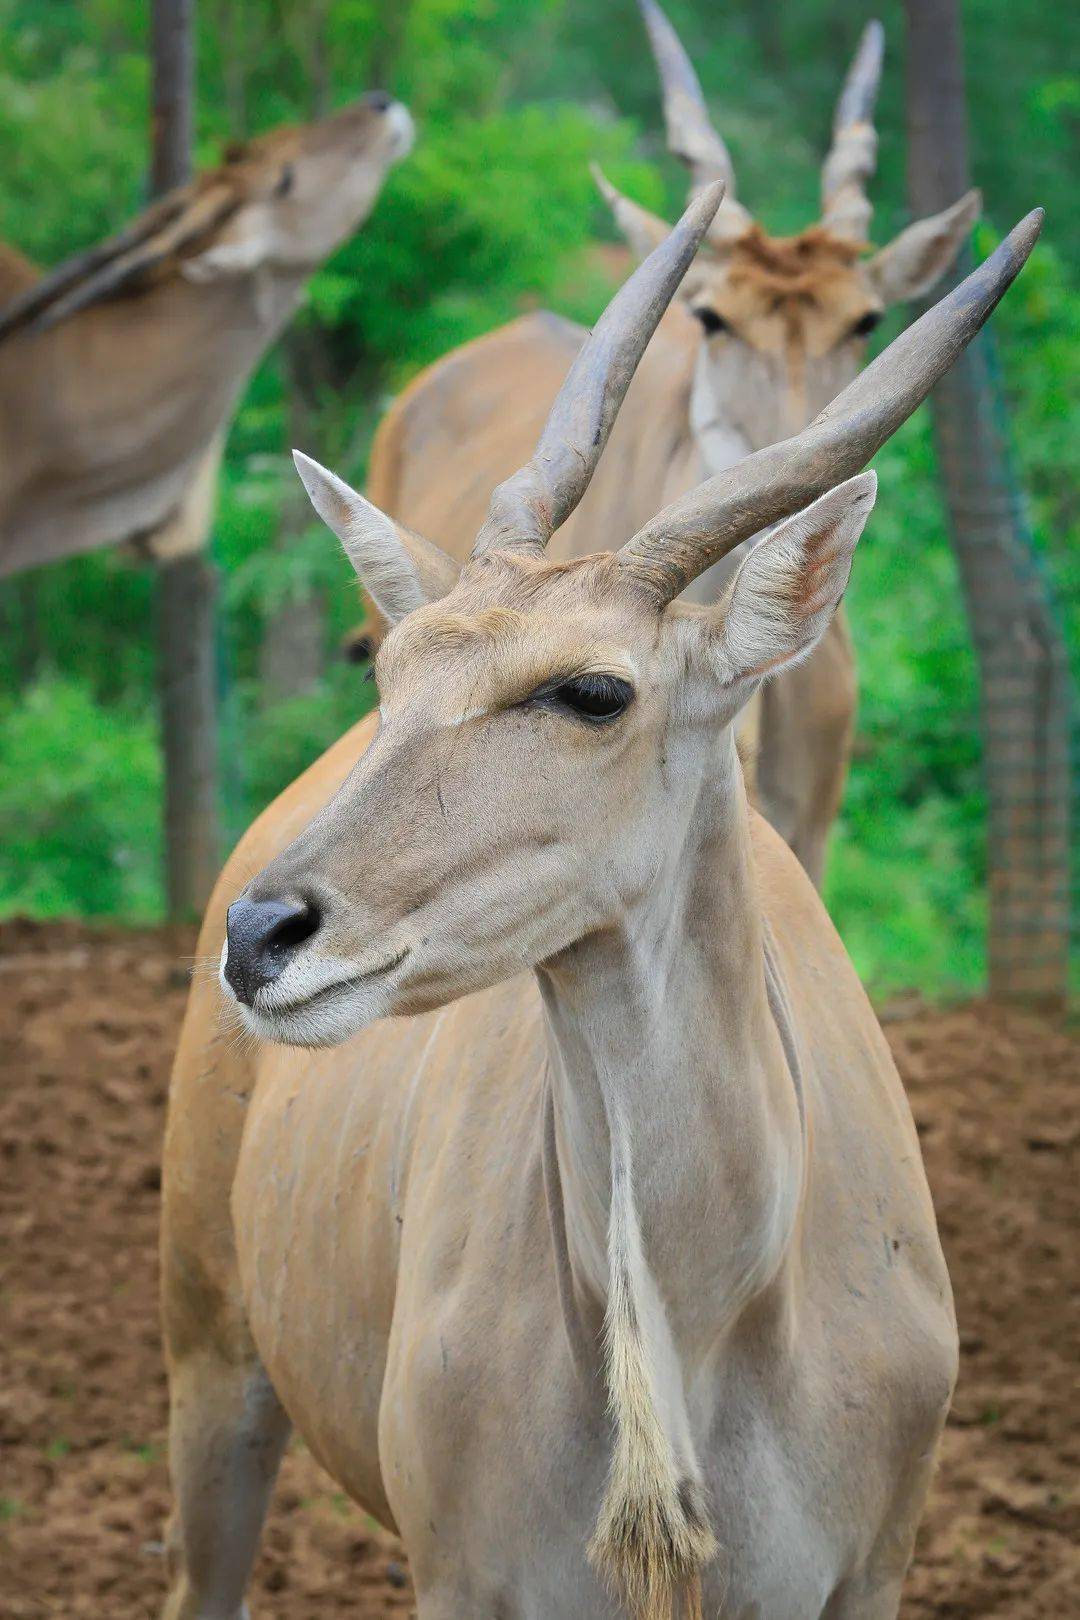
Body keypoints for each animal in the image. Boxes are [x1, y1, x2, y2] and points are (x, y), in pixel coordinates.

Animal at [158, 170, 1036, 1613]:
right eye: (393, 670)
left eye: (593, 690)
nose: (263, 934)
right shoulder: (459, 1578)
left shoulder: (872, 1572)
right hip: (214, 1372)